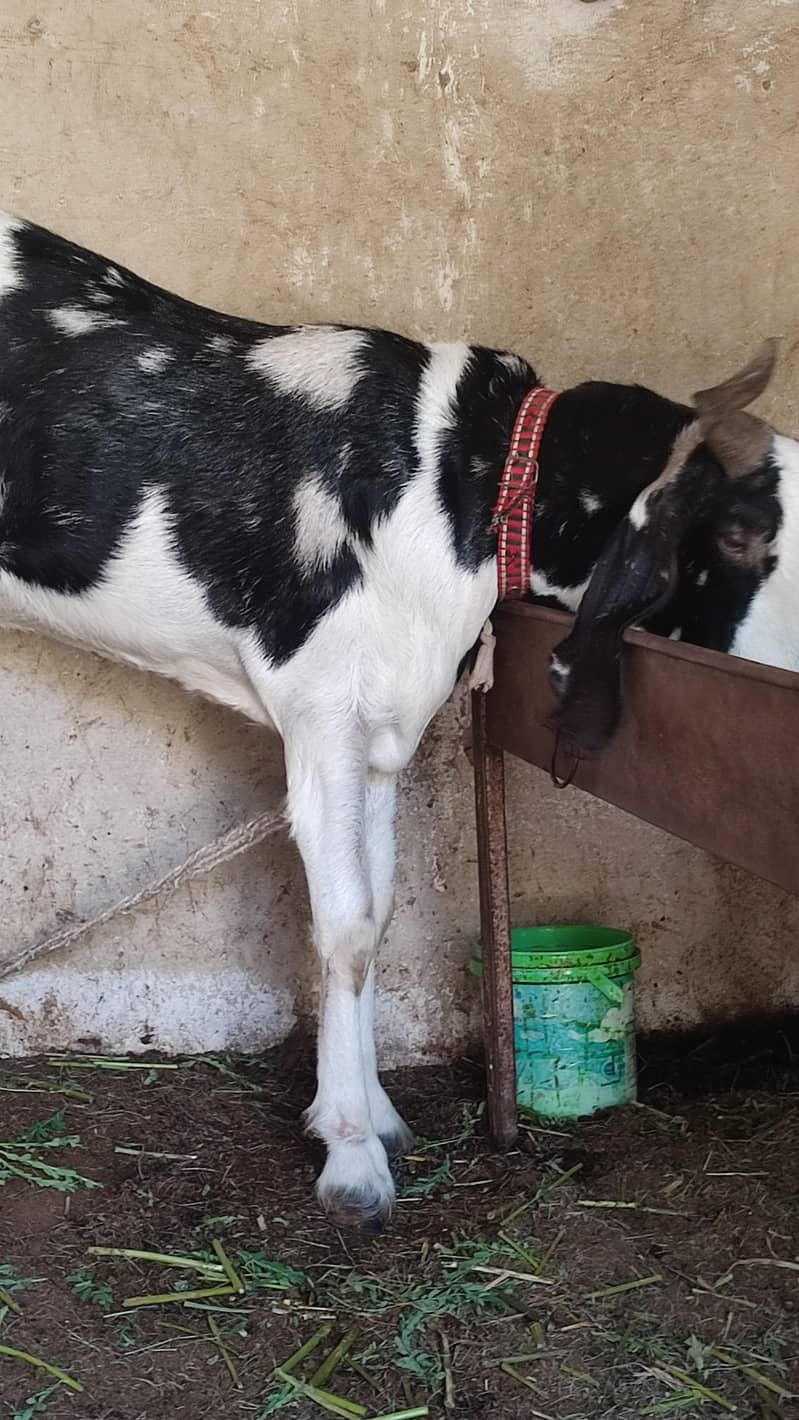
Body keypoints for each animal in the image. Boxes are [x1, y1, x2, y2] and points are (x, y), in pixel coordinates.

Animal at [0, 212, 794, 1225]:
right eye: (738, 534)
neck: (465, 477)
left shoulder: (380, 730)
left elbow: (376, 918)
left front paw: (372, 1113)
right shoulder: (319, 711)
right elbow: (342, 929)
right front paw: (350, 1159)